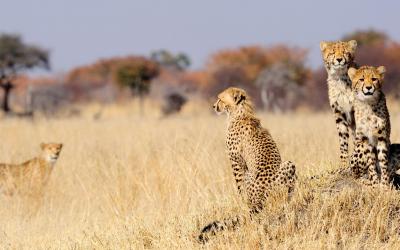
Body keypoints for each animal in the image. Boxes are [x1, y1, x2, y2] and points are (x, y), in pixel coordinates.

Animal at [198, 87, 296, 242]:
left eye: (220, 99)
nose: (213, 106)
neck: (240, 112)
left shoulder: (236, 162)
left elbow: (239, 187)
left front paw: (241, 201)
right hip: (289, 164)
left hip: (254, 174)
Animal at [320, 39, 358, 168]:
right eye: (332, 52)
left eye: (345, 52)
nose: (339, 59)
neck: (341, 78)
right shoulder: (339, 114)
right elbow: (343, 140)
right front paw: (344, 163)